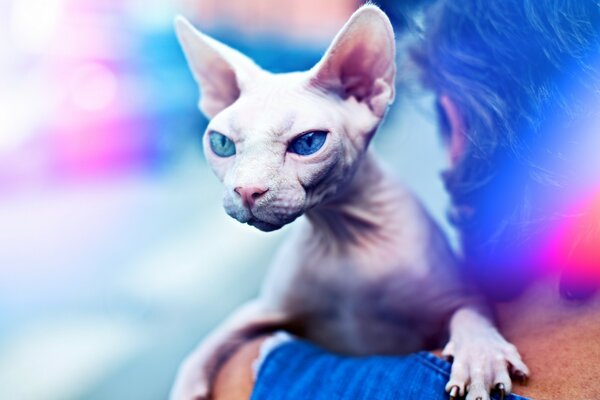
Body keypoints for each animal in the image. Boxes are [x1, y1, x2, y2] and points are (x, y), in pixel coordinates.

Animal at [171, 5, 528, 400]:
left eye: (309, 142)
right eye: (221, 144)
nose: (247, 190)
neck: (343, 241)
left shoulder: (458, 296)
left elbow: (472, 312)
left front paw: (480, 355)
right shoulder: (264, 308)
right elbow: (206, 345)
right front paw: (187, 387)